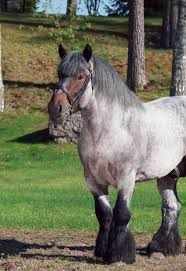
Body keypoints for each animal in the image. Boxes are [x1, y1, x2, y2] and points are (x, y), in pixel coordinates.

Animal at [47, 44, 186, 264]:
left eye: (80, 76)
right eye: (59, 74)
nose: (55, 108)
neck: (110, 128)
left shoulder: (126, 178)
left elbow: (121, 214)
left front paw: (119, 255)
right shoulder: (93, 180)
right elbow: (104, 214)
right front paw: (103, 251)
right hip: (167, 175)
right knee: (172, 207)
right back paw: (161, 249)